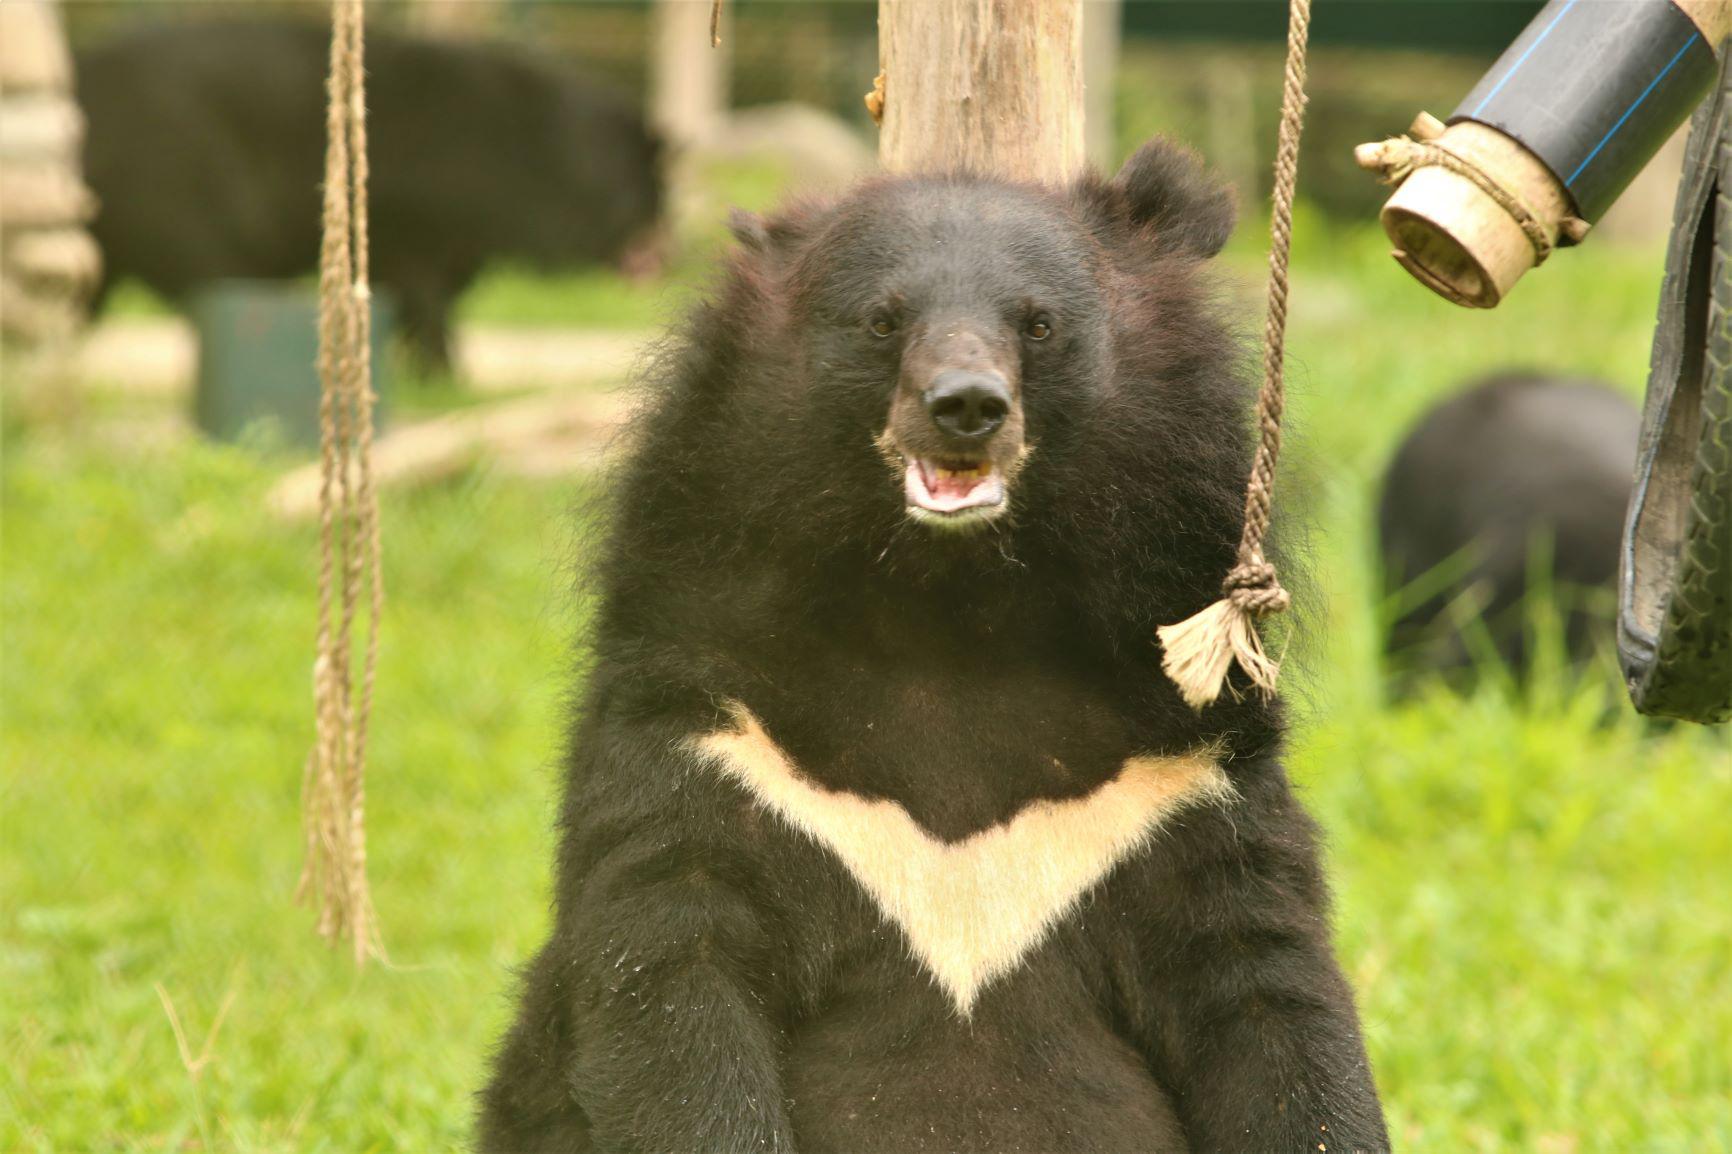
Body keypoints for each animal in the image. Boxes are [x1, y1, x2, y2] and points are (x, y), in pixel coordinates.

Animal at [72, 17, 661, 369]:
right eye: (642, 189)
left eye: (659, 192)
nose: (661, 243)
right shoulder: (412, 229)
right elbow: (428, 305)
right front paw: (444, 375)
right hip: (180, 206)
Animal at [474, 139, 1378, 1143]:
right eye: (882, 319)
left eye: (1038, 323)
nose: (966, 406)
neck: (951, 606)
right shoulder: (710, 725)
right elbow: (672, 979)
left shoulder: (1178, 772)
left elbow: (1269, 997)